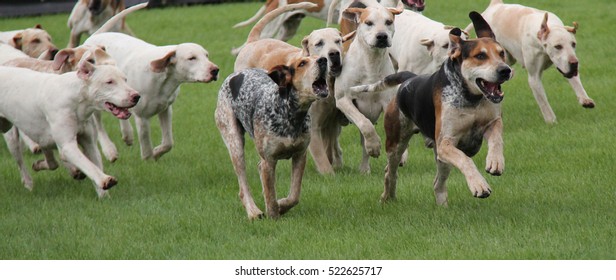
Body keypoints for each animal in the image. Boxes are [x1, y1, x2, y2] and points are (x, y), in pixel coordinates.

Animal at [218, 57, 332, 219]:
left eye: (318, 57)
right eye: (302, 63)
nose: (323, 60)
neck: (290, 113)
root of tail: (234, 75)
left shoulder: (300, 155)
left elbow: (294, 195)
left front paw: (282, 205)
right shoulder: (269, 160)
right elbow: (271, 195)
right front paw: (273, 215)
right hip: (235, 143)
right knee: (243, 185)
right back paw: (253, 212)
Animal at [352, 12, 516, 205]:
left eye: (501, 53)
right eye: (480, 56)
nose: (505, 70)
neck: (471, 99)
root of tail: (409, 79)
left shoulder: (492, 121)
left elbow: (497, 137)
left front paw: (495, 161)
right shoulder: (446, 143)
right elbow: (465, 160)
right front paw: (479, 185)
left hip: (441, 160)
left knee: (438, 183)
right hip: (396, 143)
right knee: (390, 172)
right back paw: (388, 196)